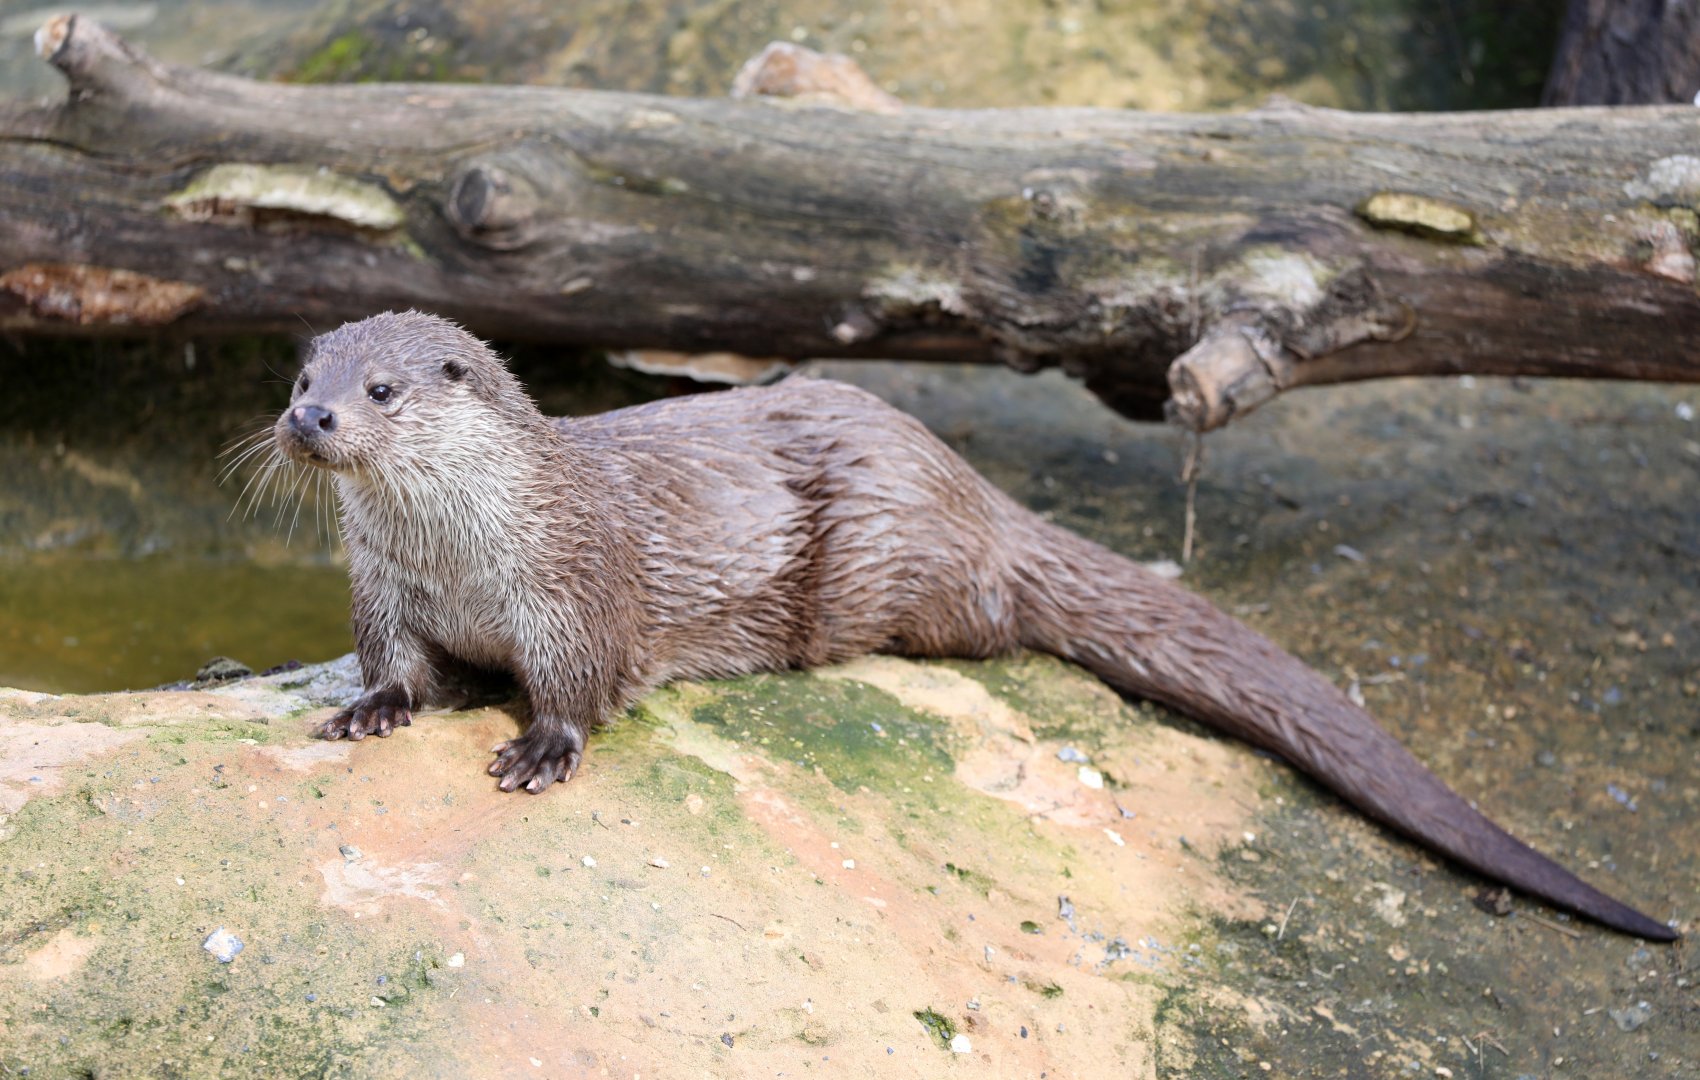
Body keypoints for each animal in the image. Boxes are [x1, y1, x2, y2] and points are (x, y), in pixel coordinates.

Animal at [271, 311, 1673, 941]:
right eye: (300, 373)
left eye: (378, 388)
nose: (307, 419)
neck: (469, 552)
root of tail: (964, 480)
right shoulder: (387, 591)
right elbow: (398, 668)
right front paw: (367, 708)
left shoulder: (575, 585)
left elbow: (583, 682)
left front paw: (539, 748)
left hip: (886, 558)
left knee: (991, 618)